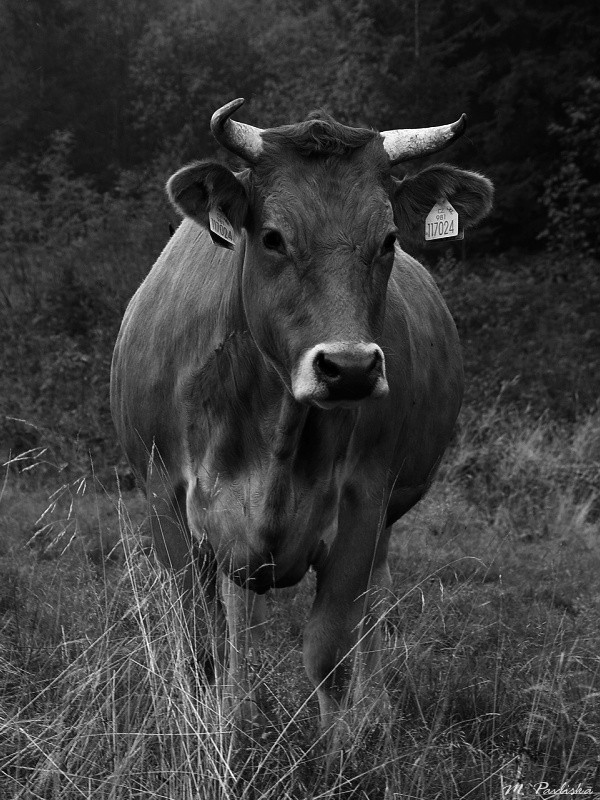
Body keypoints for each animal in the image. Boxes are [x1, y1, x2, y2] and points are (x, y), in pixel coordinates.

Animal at [110, 98, 493, 732]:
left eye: (389, 239)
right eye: (272, 237)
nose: (350, 368)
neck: (275, 428)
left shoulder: (363, 503)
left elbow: (329, 655)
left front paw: (345, 747)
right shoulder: (168, 505)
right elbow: (200, 649)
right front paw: (211, 733)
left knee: (377, 600)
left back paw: (376, 709)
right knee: (237, 619)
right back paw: (237, 708)